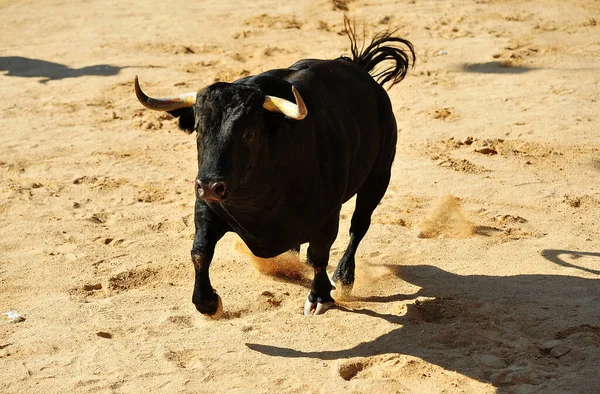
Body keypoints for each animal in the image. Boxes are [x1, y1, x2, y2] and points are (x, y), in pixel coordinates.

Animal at [137, 25, 418, 318]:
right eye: (199, 129)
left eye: (248, 133)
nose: (211, 186)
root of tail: (359, 69)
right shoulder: (206, 207)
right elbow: (200, 251)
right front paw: (208, 303)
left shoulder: (327, 215)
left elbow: (319, 256)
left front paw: (320, 297)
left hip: (378, 177)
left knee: (359, 226)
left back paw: (343, 277)